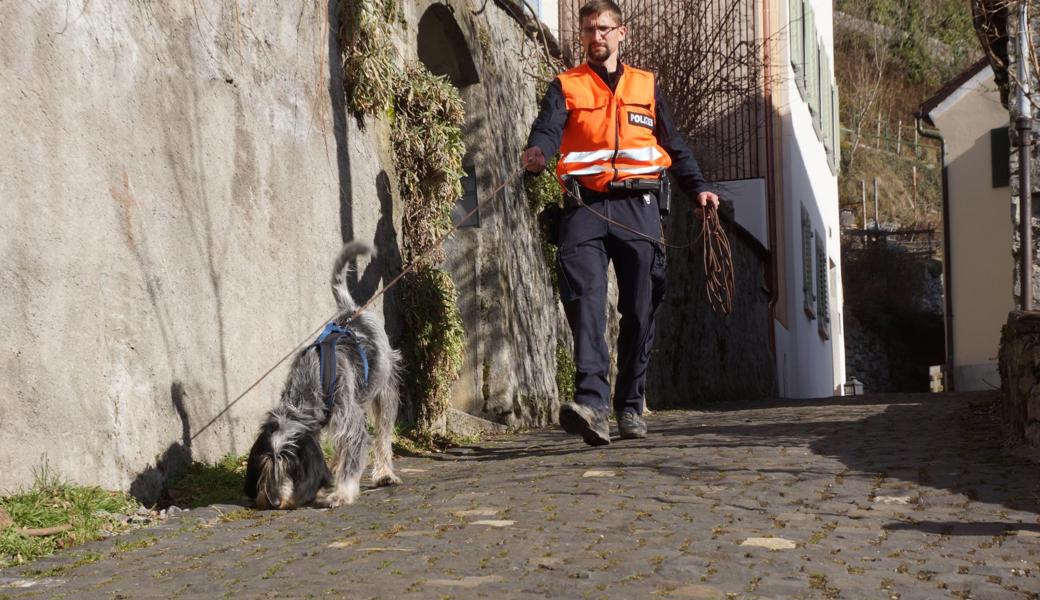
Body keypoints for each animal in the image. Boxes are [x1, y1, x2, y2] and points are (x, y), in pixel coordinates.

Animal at [244, 241, 401, 507]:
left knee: (383, 435)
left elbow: (352, 458)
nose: (273, 501)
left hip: (385, 390)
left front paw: (342, 493)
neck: (310, 383)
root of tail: (351, 309)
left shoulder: (352, 423)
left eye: (290, 465)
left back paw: (384, 474)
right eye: (266, 464)